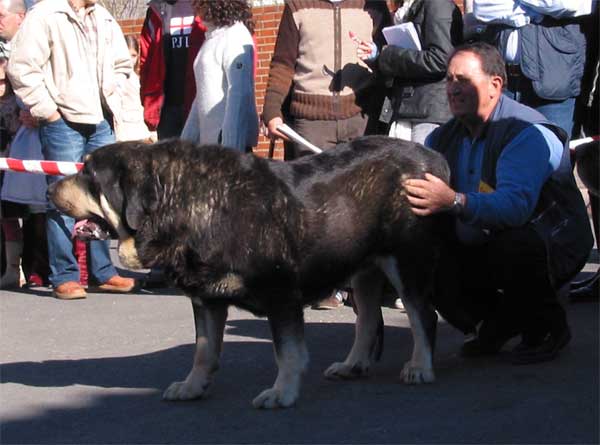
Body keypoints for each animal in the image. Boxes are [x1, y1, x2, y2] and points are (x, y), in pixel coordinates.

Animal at [49, 136, 448, 410]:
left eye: (89, 175)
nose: (49, 186)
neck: (185, 203)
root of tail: (433, 157)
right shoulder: (205, 299)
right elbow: (203, 350)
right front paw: (192, 386)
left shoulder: (281, 292)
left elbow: (287, 351)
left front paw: (282, 392)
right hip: (362, 268)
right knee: (368, 319)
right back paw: (353, 365)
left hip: (404, 262)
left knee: (422, 315)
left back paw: (420, 367)